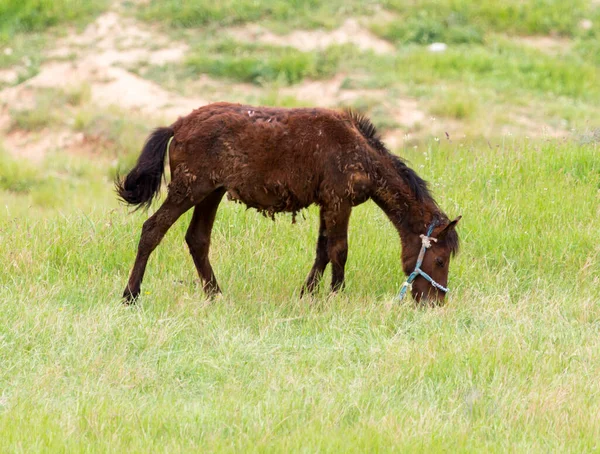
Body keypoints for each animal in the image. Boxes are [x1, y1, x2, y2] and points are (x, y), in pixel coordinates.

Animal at [118, 103, 464, 306]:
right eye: (440, 260)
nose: (435, 303)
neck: (362, 154)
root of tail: (178, 125)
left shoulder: (327, 202)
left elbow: (323, 249)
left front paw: (308, 294)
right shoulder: (339, 201)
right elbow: (339, 249)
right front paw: (337, 295)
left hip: (210, 193)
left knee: (197, 239)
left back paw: (215, 294)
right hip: (188, 190)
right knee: (152, 230)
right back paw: (130, 295)